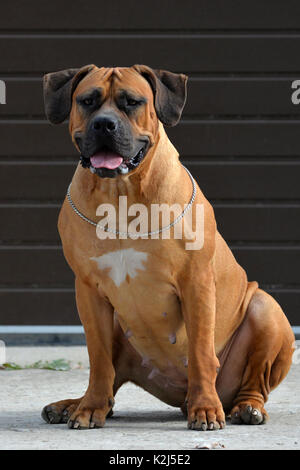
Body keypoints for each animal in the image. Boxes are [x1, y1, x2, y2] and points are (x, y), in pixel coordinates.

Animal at [40, 65, 296, 430]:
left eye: (132, 102)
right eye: (87, 101)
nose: (104, 123)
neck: (120, 195)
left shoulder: (196, 283)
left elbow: (201, 353)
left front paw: (206, 410)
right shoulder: (88, 291)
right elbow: (98, 358)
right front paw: (89, 408)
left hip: (265, 309)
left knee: (254, 381)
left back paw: (244, 408)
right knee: (110, 379)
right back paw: (74, 404)